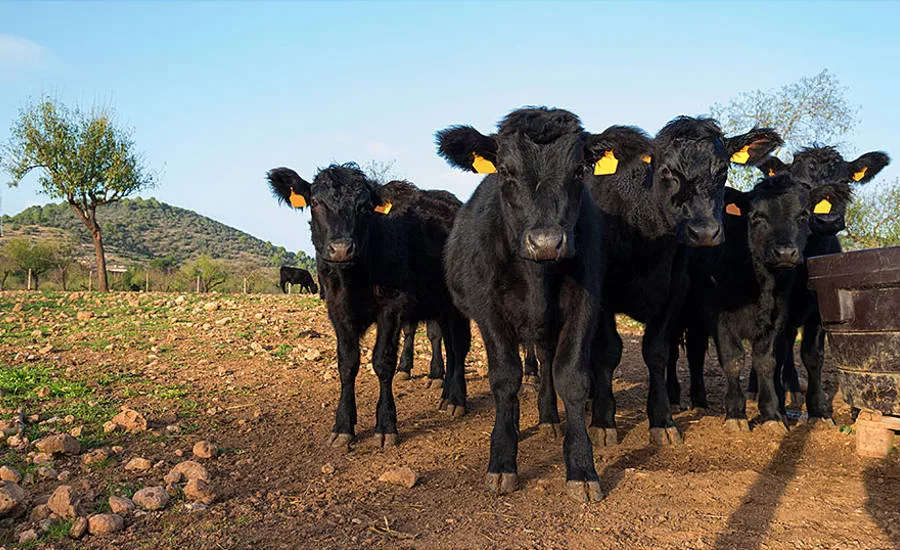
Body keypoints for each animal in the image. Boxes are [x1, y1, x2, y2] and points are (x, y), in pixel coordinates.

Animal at [267, 164, 470, 451]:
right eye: (315, 202)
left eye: (363, 206)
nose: (341, 248)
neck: (353, 278)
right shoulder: (337, 311)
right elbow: (347, 363)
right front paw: (343, 426)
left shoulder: (392, 307)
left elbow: (383, 362)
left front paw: (386, 425)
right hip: (439, 304)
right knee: (449, 346)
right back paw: (445, 394)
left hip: (457, 301)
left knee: (459, 346)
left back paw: (456, 400)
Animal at [437, 106, 646, 502]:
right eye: (505, 170)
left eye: (579, 169)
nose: (546, 241)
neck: (537, 276)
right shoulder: (489, 311)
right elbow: (505, 378)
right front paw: (502, 461)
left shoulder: (585, 306)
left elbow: (571, 377)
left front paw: (581, 467)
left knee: (547, 361)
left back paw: (549, 417)